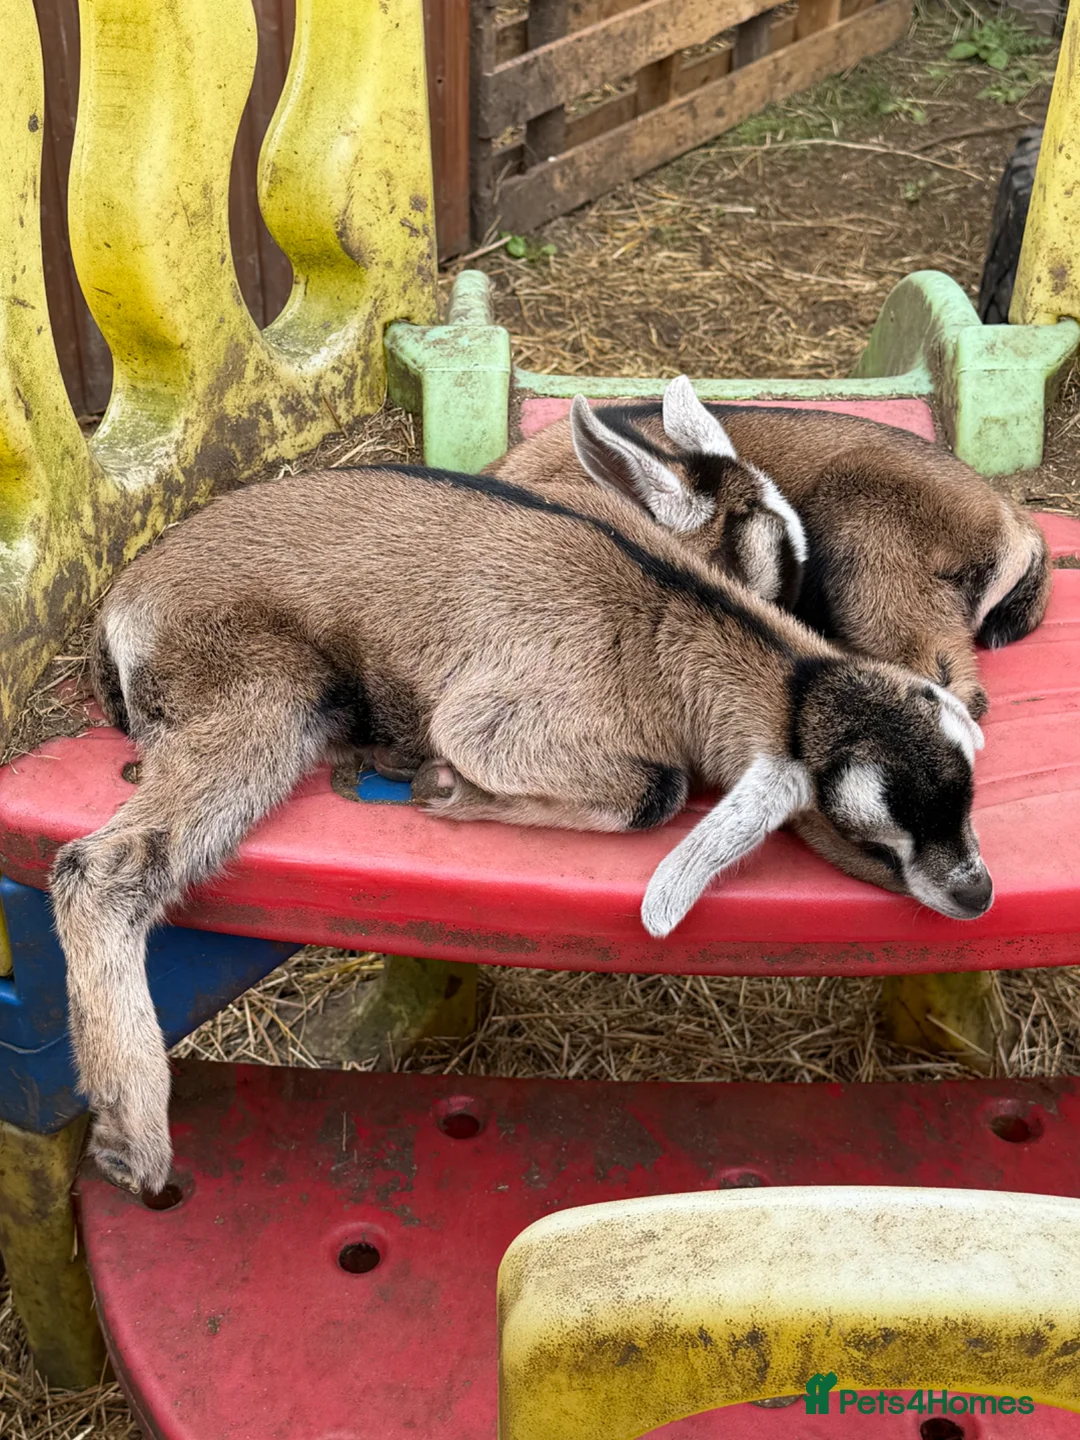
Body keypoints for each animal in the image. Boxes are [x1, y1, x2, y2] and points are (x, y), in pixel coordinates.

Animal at [52, 463, 988, 1194]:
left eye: (967, 799)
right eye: (869, 839)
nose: (975, 893)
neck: (667, 617)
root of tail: (123, 601)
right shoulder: (498, 718)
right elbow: (655, 789)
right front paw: (443, 785)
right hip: (251, 684)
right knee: (101, 867)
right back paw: (132, 1138)